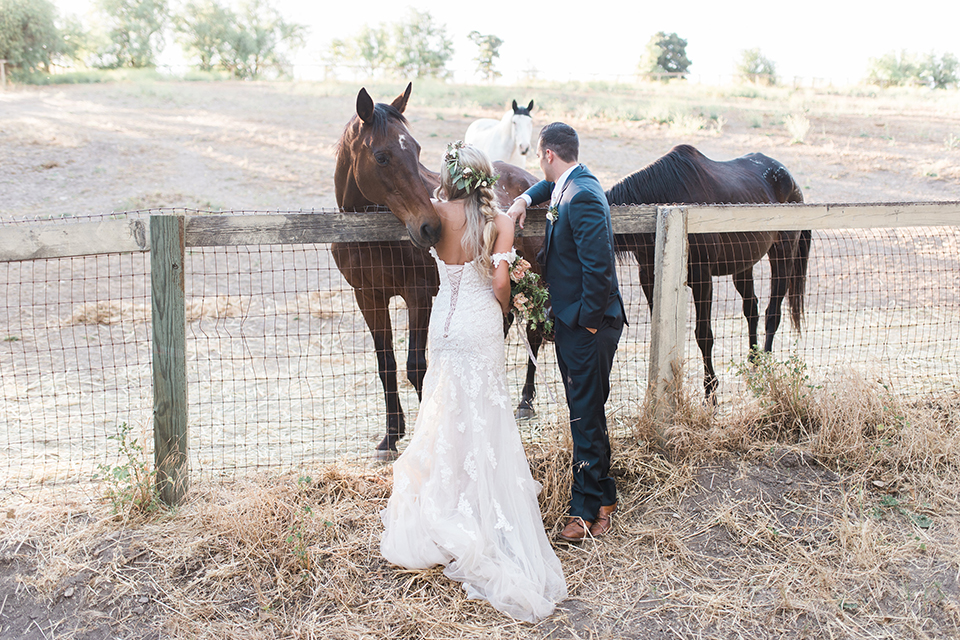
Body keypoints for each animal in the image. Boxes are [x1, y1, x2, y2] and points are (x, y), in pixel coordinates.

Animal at [332, 84, 544, 456]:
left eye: (416, 150)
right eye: (382, 157)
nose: (430, 227)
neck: (367, 235)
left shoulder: (418, 296)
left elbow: (416, 367)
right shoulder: (368, 297)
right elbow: (386, 365)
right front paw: (391, 435)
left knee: (535, 334)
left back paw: (525, 401)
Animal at [608, 148, 808, 402]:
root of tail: (791, 180)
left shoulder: (703, 278)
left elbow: (704, 335)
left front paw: (710, 392)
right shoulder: (648, 277)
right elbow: (659, 331)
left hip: (782, 255)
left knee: (773, 313)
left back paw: (765, 369)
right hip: (743, 265)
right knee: (751, 309)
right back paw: (753, 366)